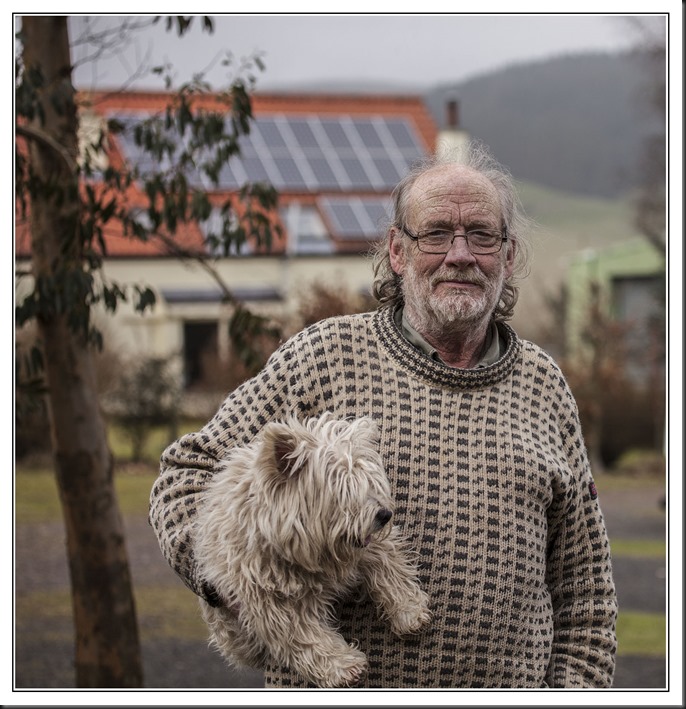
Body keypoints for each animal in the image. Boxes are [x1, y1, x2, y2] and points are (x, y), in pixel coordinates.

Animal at [193, 413, 431, 688]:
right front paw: (342, 666)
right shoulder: (270, 599)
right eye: (343, 492)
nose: (384, 514)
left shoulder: (371, 546)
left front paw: (410, 610)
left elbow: (389, 566)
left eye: (369, 483)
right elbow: (305, 635)